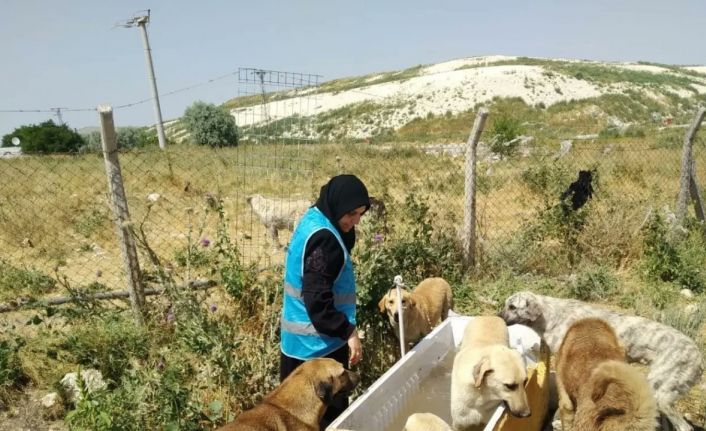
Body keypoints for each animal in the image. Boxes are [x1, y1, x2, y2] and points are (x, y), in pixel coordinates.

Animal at [498, 290, 700, 431]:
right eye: (506, 304)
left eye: (512, 307)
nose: (498, 317)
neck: (549, 315)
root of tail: (699, 357)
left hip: (660, 393)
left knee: (685, 427)